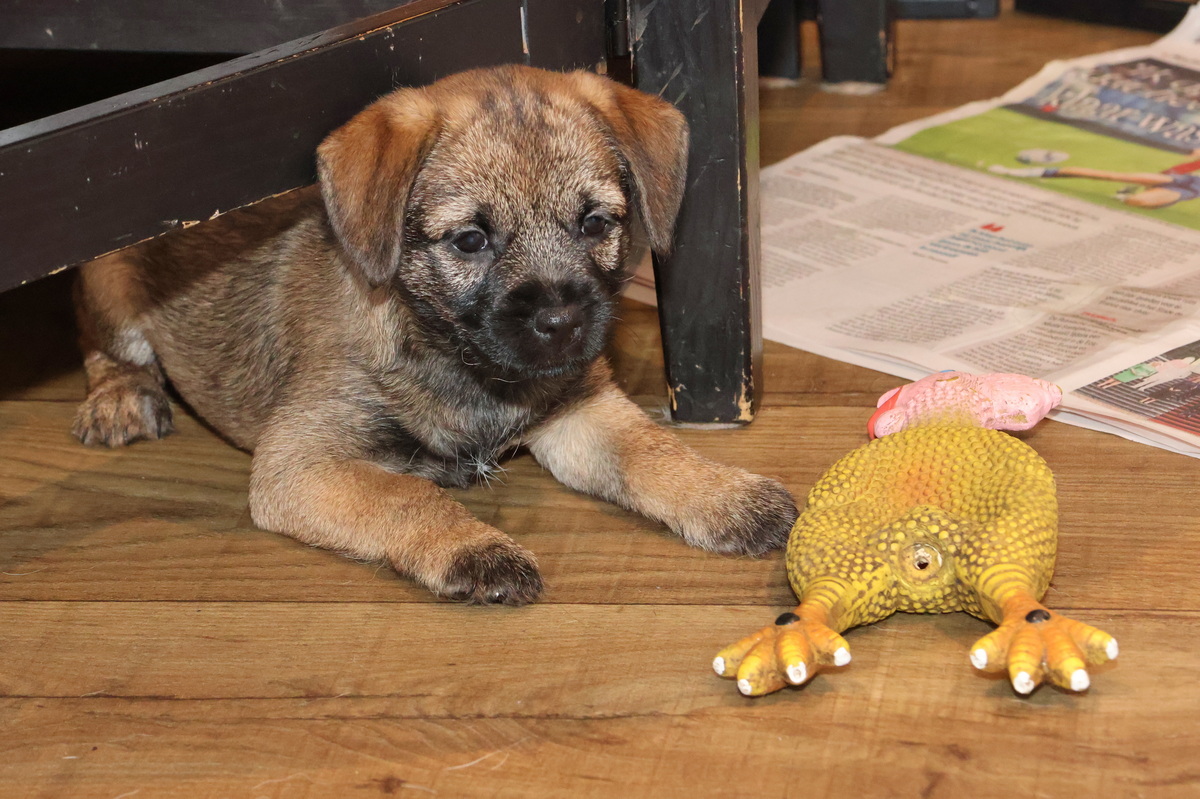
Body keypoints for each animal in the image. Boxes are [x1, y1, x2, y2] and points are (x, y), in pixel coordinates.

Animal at [71, 65, 798, 604]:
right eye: (470, 240)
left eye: (595, 223)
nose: (563, 324)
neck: (448, 354)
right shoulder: (299, 463)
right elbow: (405, 494)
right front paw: (475, 548)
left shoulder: (580, 409)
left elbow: (650, 449)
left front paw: (728, 495)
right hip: (107, 286)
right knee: (105, 347)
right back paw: (121, 396)